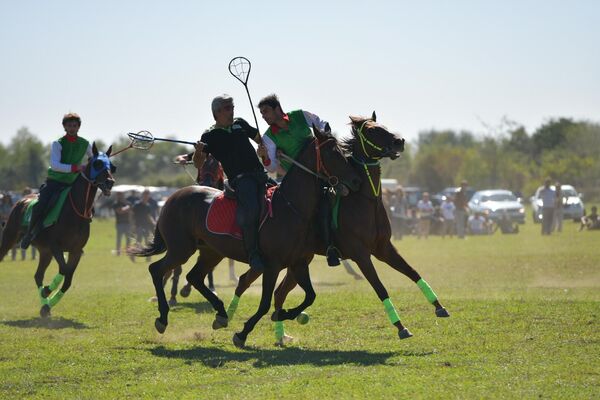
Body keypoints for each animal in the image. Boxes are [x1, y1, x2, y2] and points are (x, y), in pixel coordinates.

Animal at [0, 144, 116, 316]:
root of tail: (20, 201)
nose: (110, 182)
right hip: (9, 239)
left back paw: (44, 306)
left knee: (38, 276)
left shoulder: (75, 251)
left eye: (112, 166)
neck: (75, 210)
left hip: (44, 253)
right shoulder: (56, 247)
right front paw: (48, 291)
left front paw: (48, 300)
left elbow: (67, 278)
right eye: (97, 164)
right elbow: (64, 269)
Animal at [127, 126, 360, 346]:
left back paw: (221, 314)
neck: (292, 207)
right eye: (333, 153)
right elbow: (265, 303)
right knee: (157, 270)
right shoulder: (272, 265)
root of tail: (171, 198)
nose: (355, 180)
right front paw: (243, 333)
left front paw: (284, 314)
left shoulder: (299, 263)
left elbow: (310, 296)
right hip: (180, 249)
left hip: (211, 251)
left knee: (193, 276)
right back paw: (163, 318)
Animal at [227, 113, 448, 344]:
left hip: (297, 260)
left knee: (277, 292)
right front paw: (400, 326)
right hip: (279, 261)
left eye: (383, 126)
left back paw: (277, 329)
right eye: (371, 130)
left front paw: (438, 306)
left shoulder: (384, 248)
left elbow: (412, 272)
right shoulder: (361, 254)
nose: (399, 141)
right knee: (252, 282)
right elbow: (380, 287)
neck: (365, 199)